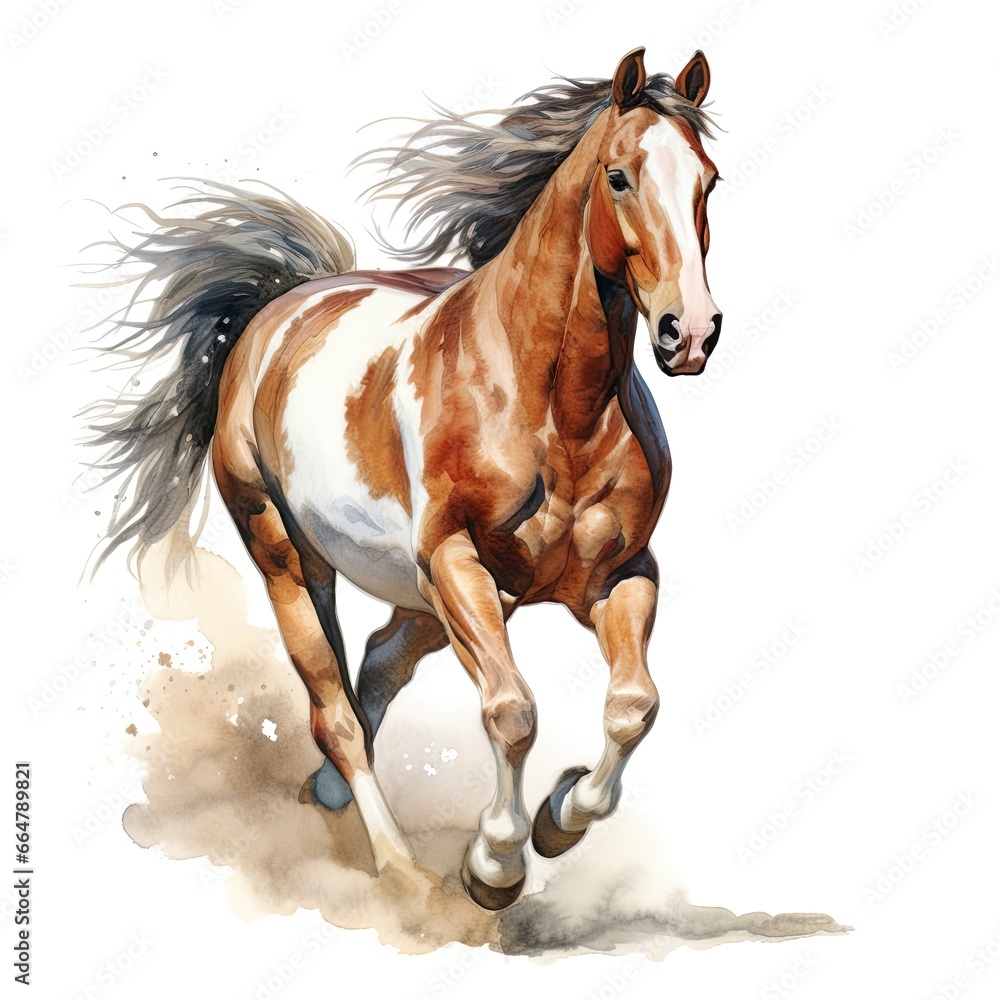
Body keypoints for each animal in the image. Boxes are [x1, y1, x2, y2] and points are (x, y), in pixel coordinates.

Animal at [87, 46, 721, 911]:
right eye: (619, 176)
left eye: (709, 181)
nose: (689, 333)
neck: (556, 408)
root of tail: (277, 310)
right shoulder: (455, 561)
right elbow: (512, 712)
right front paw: (494, 865)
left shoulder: (618, 573)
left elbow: (633, 706)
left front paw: (560, 817)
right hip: (293, 557)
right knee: (336, 712)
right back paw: (399, 868)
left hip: (440, 597)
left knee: (380, 661)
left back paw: (330, 795)